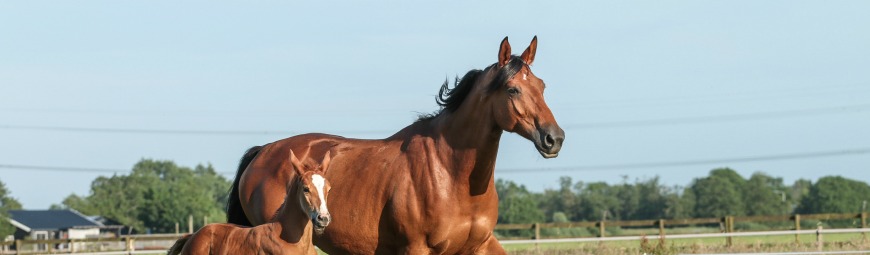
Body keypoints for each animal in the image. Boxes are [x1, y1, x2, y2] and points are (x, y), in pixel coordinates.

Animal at [227, 36, 564, 254]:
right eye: (512, 89)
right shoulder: (418, 249)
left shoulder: (479, 246)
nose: (554, 138)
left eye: (543, 86)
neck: (450, 174)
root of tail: (264, 152)